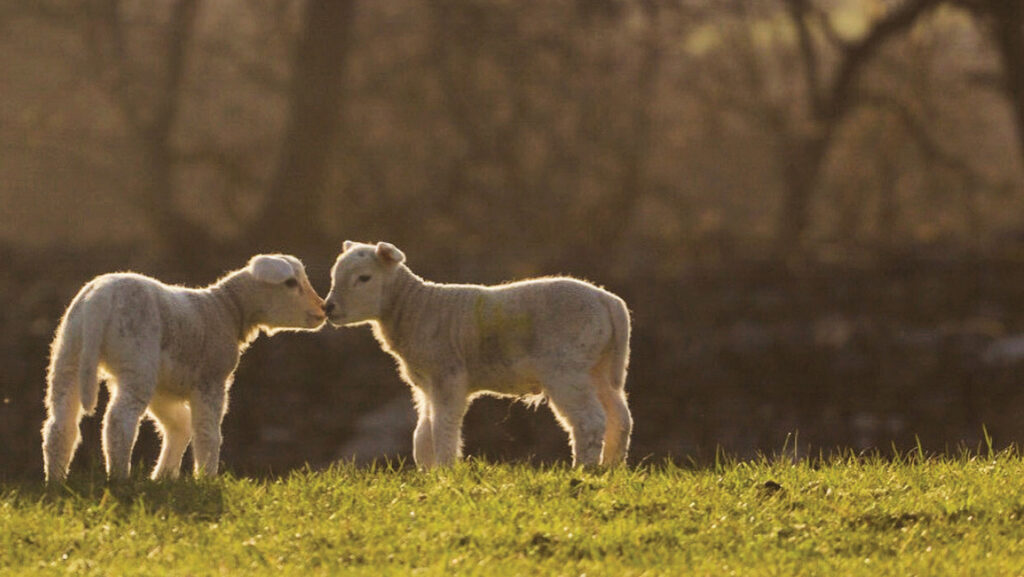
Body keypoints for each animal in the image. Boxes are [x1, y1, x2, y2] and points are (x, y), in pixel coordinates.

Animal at [42, 254, 326, 483]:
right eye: (290, 283)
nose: (323, 310)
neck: (226, 309)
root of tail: (99, 297)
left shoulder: (164, 388)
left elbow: (179, 425)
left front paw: (163, 477)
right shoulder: (210, 381)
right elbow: (206, 432)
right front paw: (206, 479)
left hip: (68, 354)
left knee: (60, 424)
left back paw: (56, 481)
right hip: (137, 362)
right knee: (119, 422)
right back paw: (120, 479)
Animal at [324, 241, 632, 468]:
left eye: (364, 278)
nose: (329, 308)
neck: (415, 308)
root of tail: (609, 300)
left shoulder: (448, 377)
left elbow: (442, 427)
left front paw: (444, 472)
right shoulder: (425, 385)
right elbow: (422, 432)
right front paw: (427, 473)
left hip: (566, 369)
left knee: (590, 421)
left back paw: (584, 469)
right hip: (599, 367)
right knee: (619, 417)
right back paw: (611, 467)